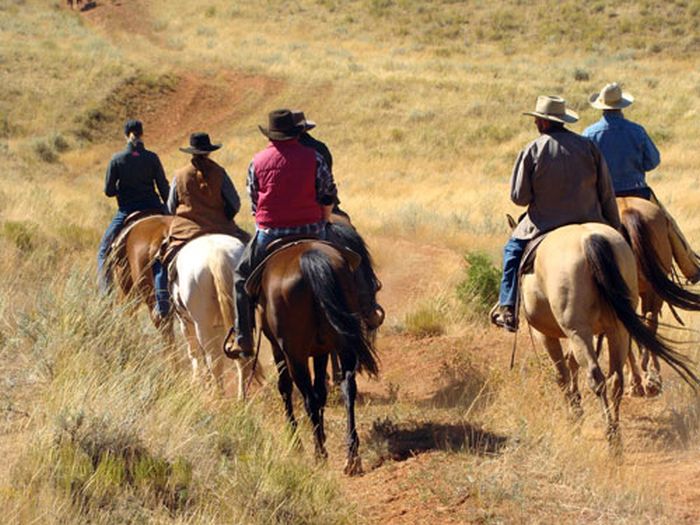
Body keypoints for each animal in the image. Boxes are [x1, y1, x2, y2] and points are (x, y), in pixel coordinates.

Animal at [242, 239, 382, 472]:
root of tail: (310, 260)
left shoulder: (279, 350)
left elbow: (286, 388)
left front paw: (295, 442)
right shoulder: (321, 351)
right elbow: (321, 391)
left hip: (295, 355)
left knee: (308, 398)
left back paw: (320, 453)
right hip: (342, 343)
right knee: (347, 387)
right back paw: (351, 455)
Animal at [524, 222, 696, 450]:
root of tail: (589, 239)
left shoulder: (545, 334)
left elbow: (561, 374)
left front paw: (572, 417)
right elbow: (571, 364)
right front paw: (576, 410)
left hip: (579, 331)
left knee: (597, 378)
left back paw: (611, 436)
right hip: (617, 328)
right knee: (615, 378)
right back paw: (617, 430)